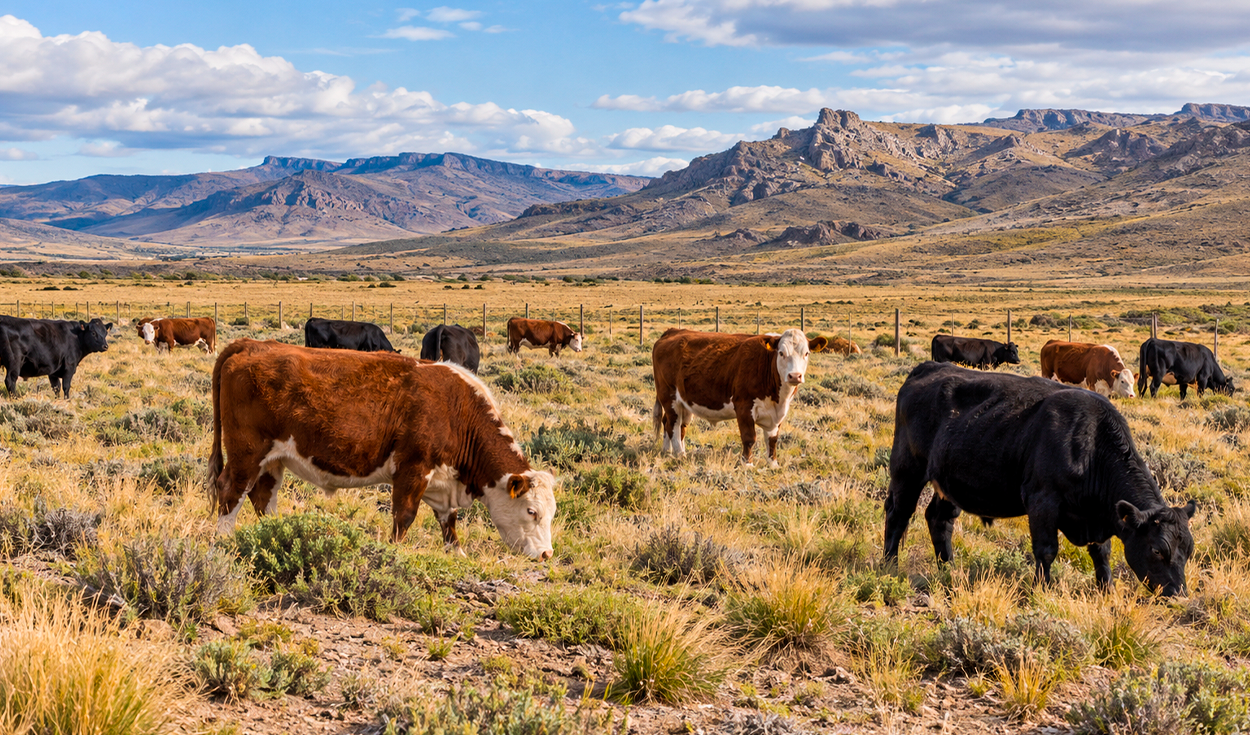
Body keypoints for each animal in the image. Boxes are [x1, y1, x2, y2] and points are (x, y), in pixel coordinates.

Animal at [208, 339, 555, 559]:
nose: (546, 554)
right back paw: (224, 541)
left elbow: (449, 522)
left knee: (262, 495)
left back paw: (274, 532)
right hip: (247, 452)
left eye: (551, 513)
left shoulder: (443, 482)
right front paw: (394, 551)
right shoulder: (412, 469)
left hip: (273, 459)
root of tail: (249, 344)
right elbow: (404, 516)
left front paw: (457, 553)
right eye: (531, 511)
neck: (456, 409)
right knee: (231, 491)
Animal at [652, 328, 829, 467]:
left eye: (806, 353)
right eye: (781, 353)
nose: (795, 376)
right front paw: (747, 464)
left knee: (675, 425)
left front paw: (773, 464)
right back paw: (679, 454)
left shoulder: (778, 412)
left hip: (684, 402)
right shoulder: (744, 406)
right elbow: (749, 437)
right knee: (673, 424)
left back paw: (667, 451)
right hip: (669, 397)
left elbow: (772, 439)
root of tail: (673, 331)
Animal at [884, 361, 1195, 596]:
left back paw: (949, 569)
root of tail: (928, 367)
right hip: (907, 469)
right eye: (1157, 550)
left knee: (939, 519)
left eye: (1188, 550)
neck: (1090, 443)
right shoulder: (1042, 500)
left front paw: (1106, 591)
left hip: (948, 481)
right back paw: (889, 567)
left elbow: (1102, 553)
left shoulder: (1098, 516)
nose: (1178, 593)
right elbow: (1046, 550)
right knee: (898, 514)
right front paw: (1043, 590)